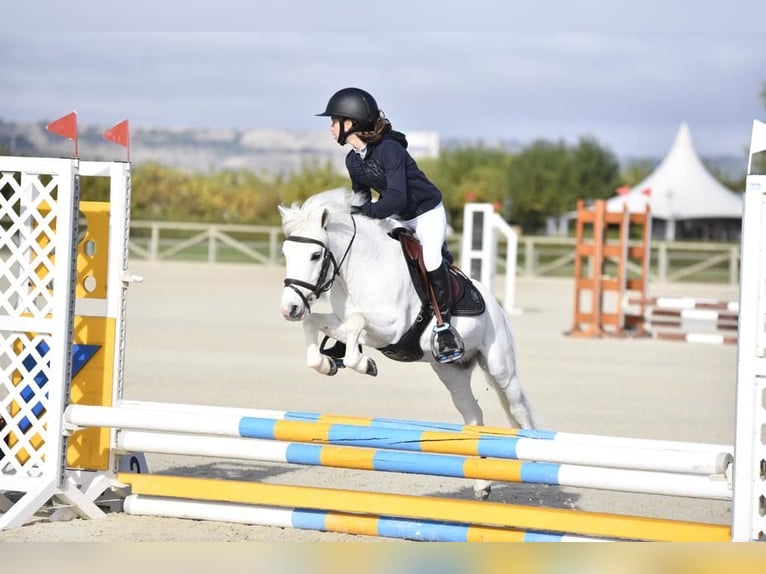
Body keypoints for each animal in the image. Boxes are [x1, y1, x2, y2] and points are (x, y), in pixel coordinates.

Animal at [280, 189, 544, 500]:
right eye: (286, 253)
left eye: (315, 255)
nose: (290, 308)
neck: (362, 267)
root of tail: (495, 304)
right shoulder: (340, 320)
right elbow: (315, 324)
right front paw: (327, 362)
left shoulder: (392, 328)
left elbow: (357, 322)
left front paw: (365, 364)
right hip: (452, 373)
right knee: (473, 415)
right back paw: (481, 484)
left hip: (499, 366)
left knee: (517, 406)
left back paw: (533, 453)